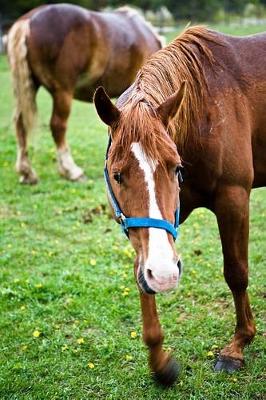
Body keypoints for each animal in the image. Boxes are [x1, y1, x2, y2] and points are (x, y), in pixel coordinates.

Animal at [7, 3, 162, 184]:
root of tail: (29, 19)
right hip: (62, 92)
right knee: (57, 126)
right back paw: (71, 170)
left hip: (27, 88)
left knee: (20, 123)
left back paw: (27, 172)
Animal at [94, 26, 264, 386]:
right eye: (117, 175)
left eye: (175, 167)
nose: (165, 275)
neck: (203, 113)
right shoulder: (150, 230)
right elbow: (142, 276)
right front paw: (160, 362)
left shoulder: (234, 198)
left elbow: (237, 273)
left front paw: (238, 345)